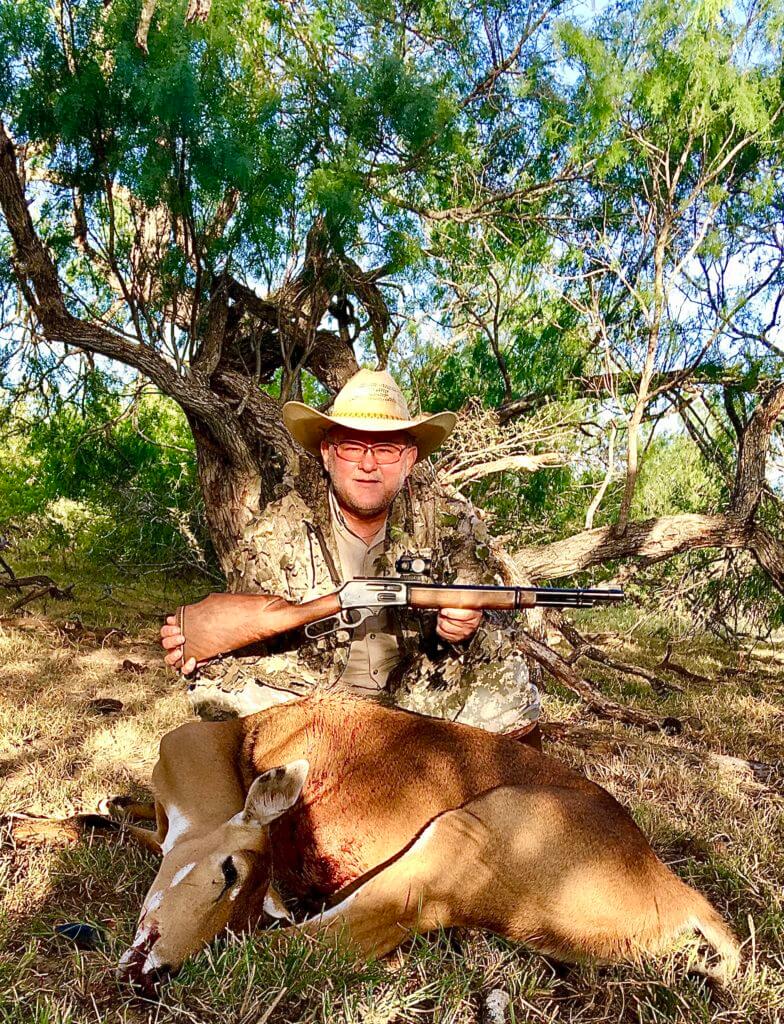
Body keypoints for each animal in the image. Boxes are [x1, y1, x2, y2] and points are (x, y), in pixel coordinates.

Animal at [113, 688, 741, 991]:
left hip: (459, 840)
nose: (154, 971)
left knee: (318, 945)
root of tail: (680, 895)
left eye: (230, 872)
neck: (232, 743)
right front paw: (115, 806)